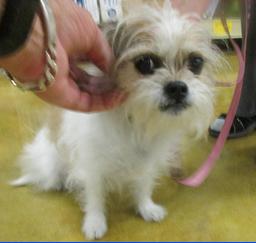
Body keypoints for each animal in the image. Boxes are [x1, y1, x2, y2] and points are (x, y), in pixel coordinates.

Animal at [12, 1, 220, 240]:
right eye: (145, 63)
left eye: (196, 62)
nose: (177, 87)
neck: (136, 122)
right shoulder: (92, 165)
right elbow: (94, 195)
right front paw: (94, 222)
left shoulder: (147, 163)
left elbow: (143, 186)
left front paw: (146, 208)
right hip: (50, 168)